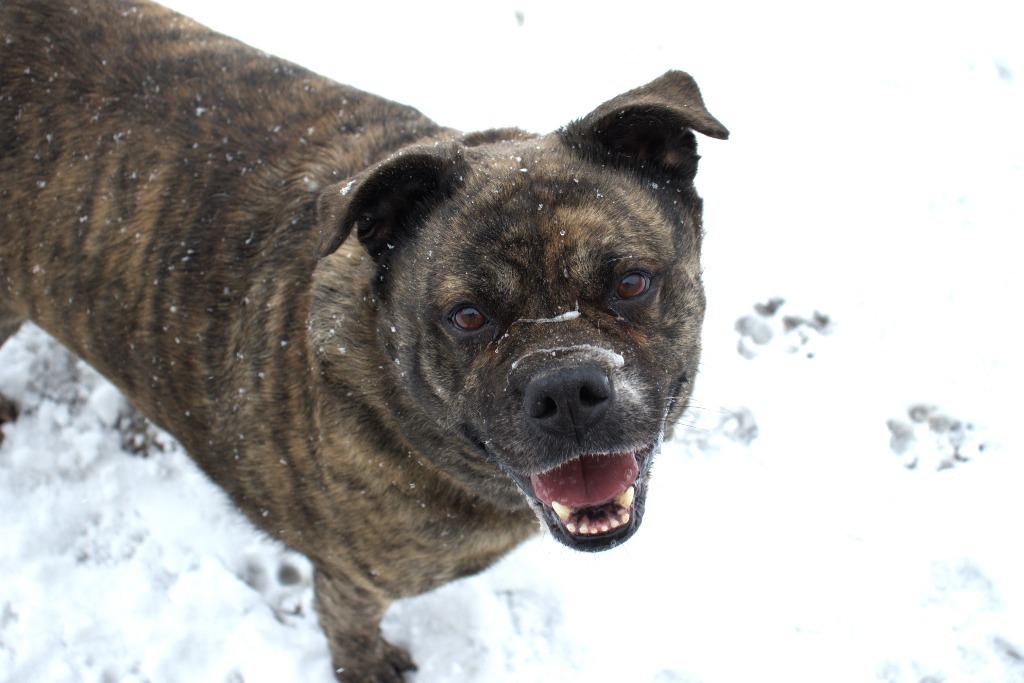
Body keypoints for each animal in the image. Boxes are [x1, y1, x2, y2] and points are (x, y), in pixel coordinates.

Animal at [2, 0, 729, 679]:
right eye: (467, 316)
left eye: (632, 282)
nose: (568, 387)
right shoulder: (349, 582)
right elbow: (349, 633)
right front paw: (369, 665)